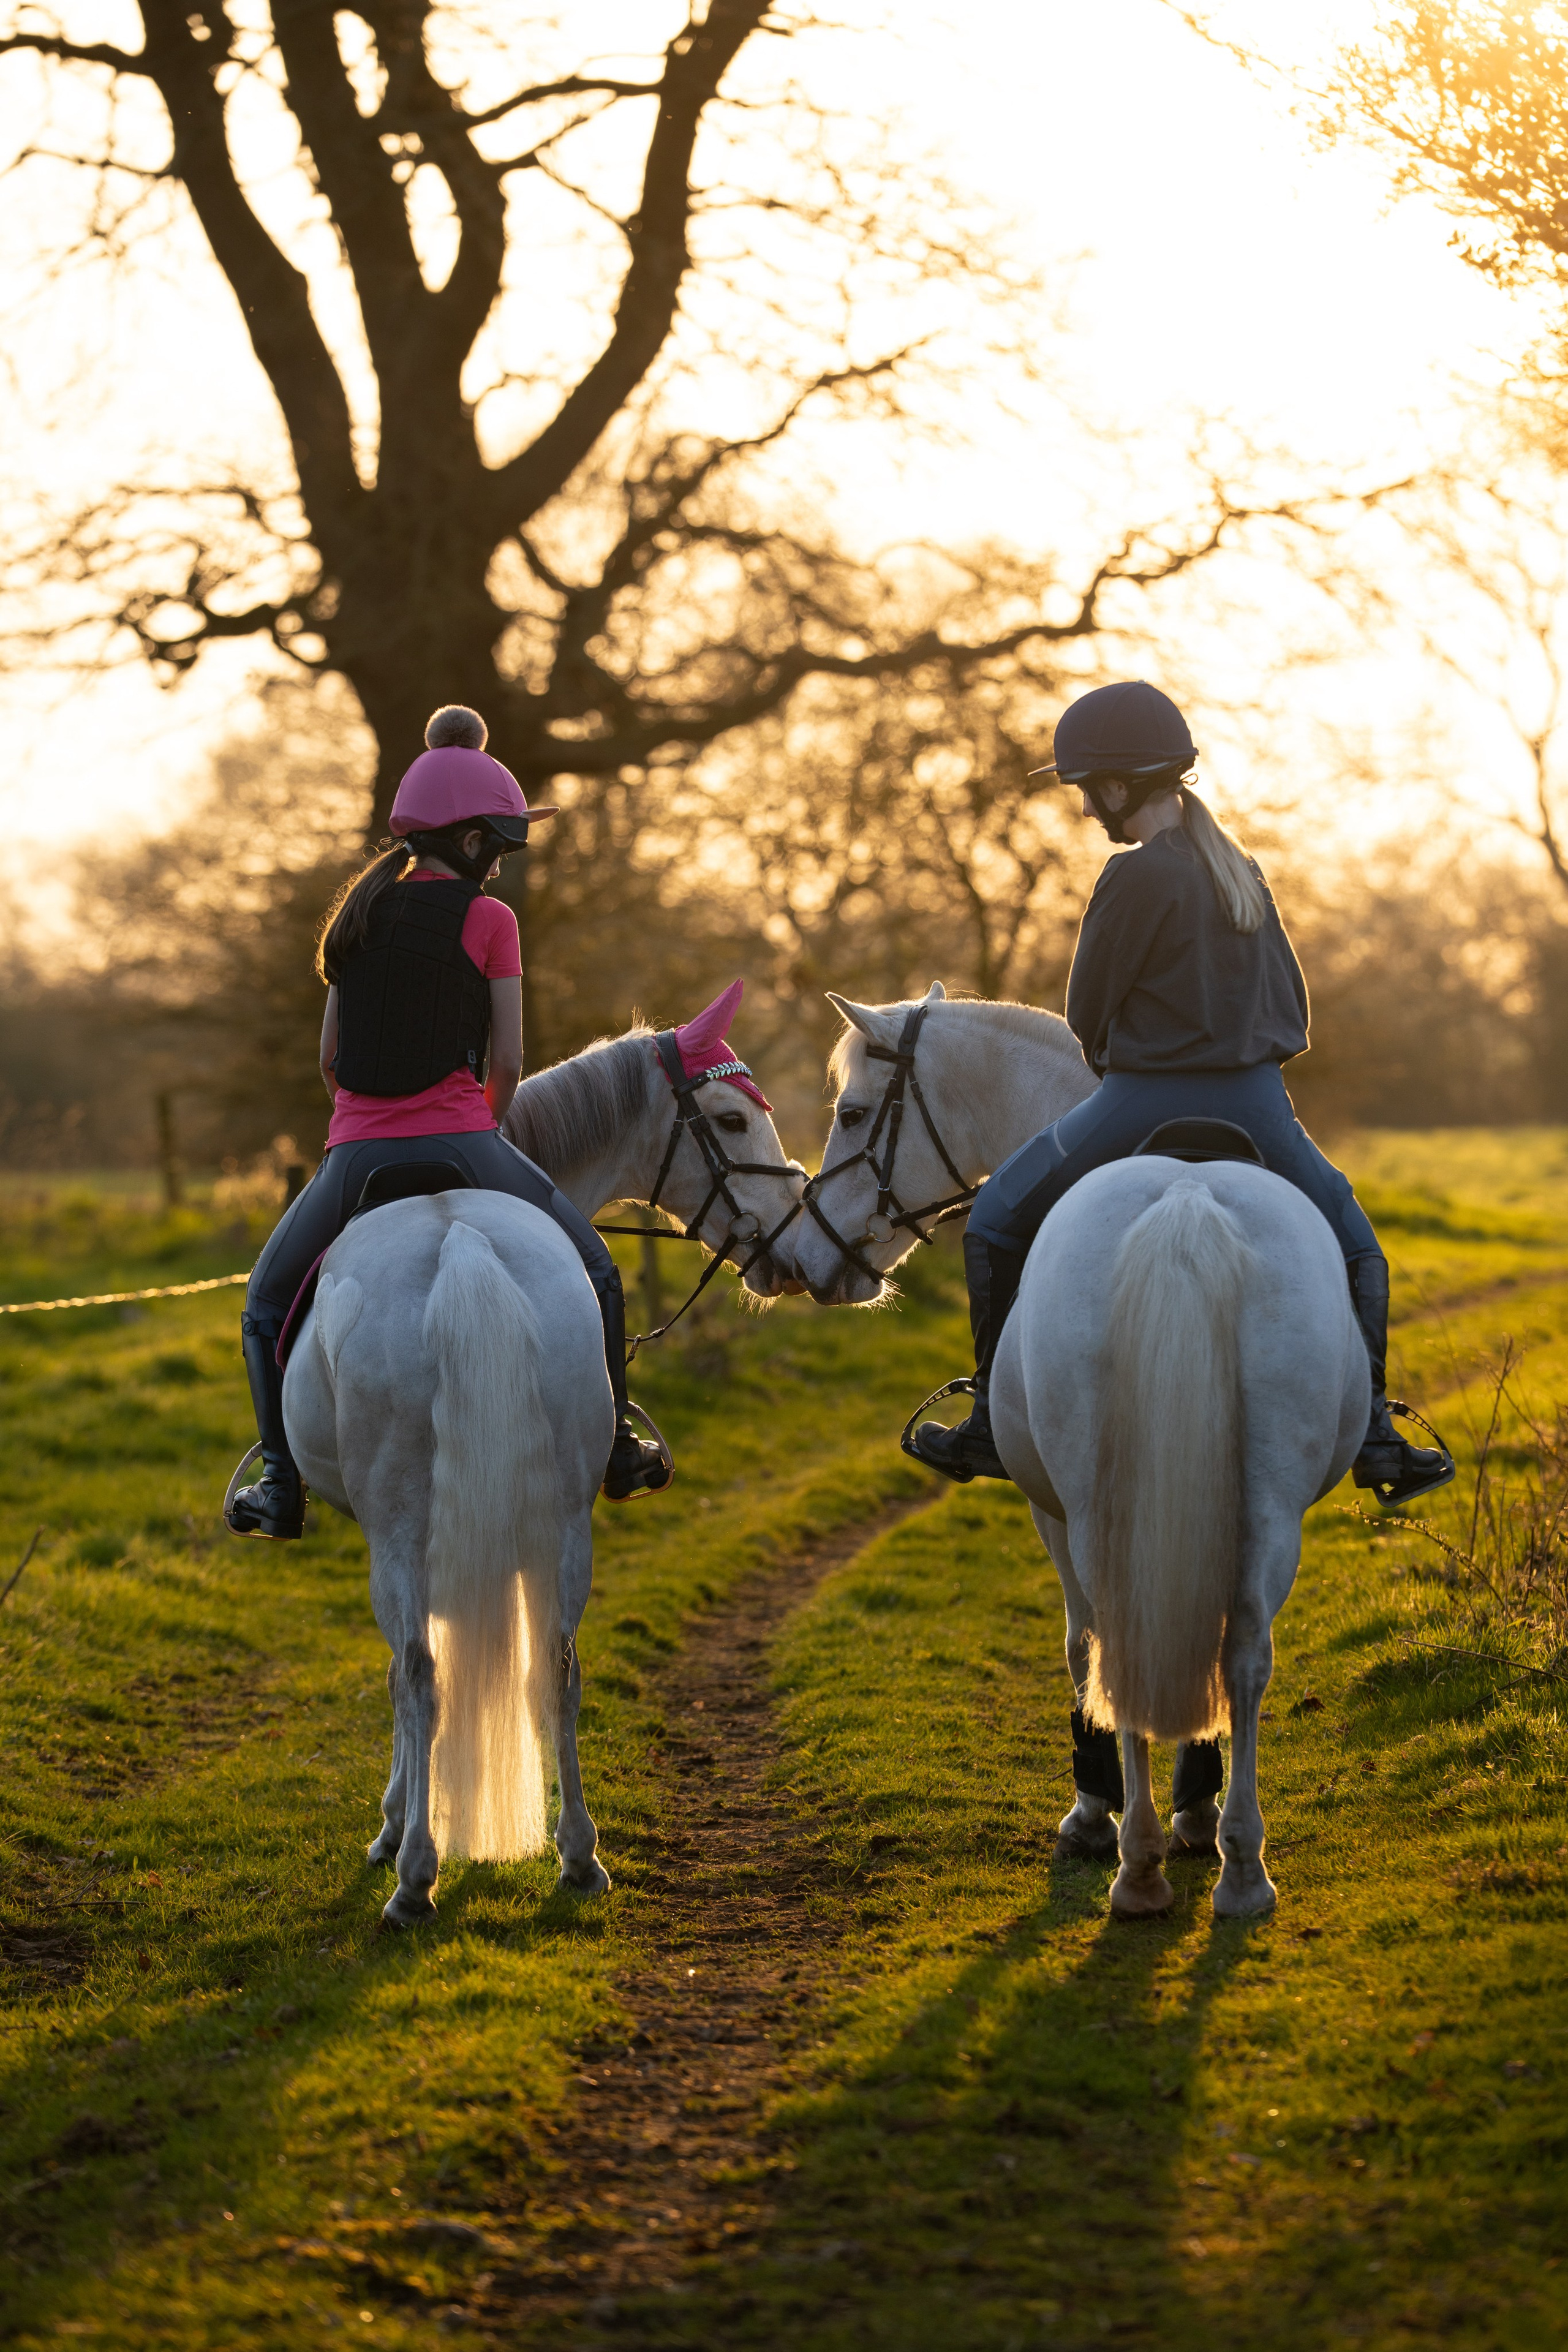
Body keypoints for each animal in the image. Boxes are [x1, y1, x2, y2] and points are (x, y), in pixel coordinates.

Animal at [274, 1015, 804, 1925]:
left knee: (420, 1674)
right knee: (556, 1666)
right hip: (562, 1522)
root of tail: (459, 1242)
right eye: (732, 1120)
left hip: (403, 1531)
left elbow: (398, 1674)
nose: (791, 1242)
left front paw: (390, 1825)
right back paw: (580, 1857)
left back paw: (414, 1875)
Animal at [787, 983, 1367, 1918]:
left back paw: (1135, 1863)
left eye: (851, 1113)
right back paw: (1240, 1866)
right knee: (1241, 1655)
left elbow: (1078, 1645)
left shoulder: (1050, 1509)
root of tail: (1185, 1203)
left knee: (1119, 1640)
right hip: (1268, 1510)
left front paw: (1096, 1810)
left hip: (1099, 1513)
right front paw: (1195, 1809)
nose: (807, 1260)